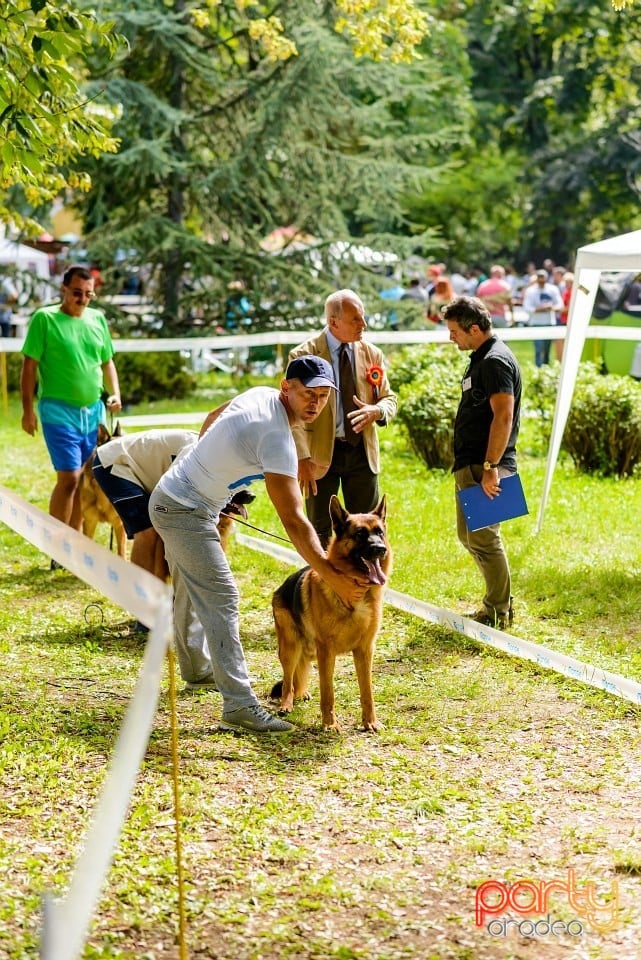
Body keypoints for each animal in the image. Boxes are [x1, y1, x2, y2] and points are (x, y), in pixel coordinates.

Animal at [270, 498, 390, 732]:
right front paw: (330, 724)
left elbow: (367, 692)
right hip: (290, 647)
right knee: (288, 679)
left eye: (379, 532)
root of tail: (281, 588)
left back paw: (301, 693)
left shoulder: (365, 650)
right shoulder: (326, 652)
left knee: (300, 671)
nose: (380, 549)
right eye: (360, 534)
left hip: (307, 650)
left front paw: (370, 721)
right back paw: (287, 704)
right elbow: (328, 691)